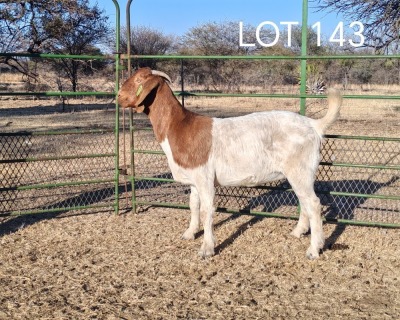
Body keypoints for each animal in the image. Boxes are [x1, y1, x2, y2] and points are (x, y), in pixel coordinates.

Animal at [117, 67, 342, 260]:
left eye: (139, 80)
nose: (118, 96)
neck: (180, 127)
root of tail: (313, 125)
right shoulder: (194, 179)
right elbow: (193, 205)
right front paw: (189, 233)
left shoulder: (205, 177)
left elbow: (207, 210)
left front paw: (207, 248)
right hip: (299, 173)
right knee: (305, 201)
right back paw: (298, 232)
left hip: (300, 169)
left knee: (313, 203)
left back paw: (314, 249)